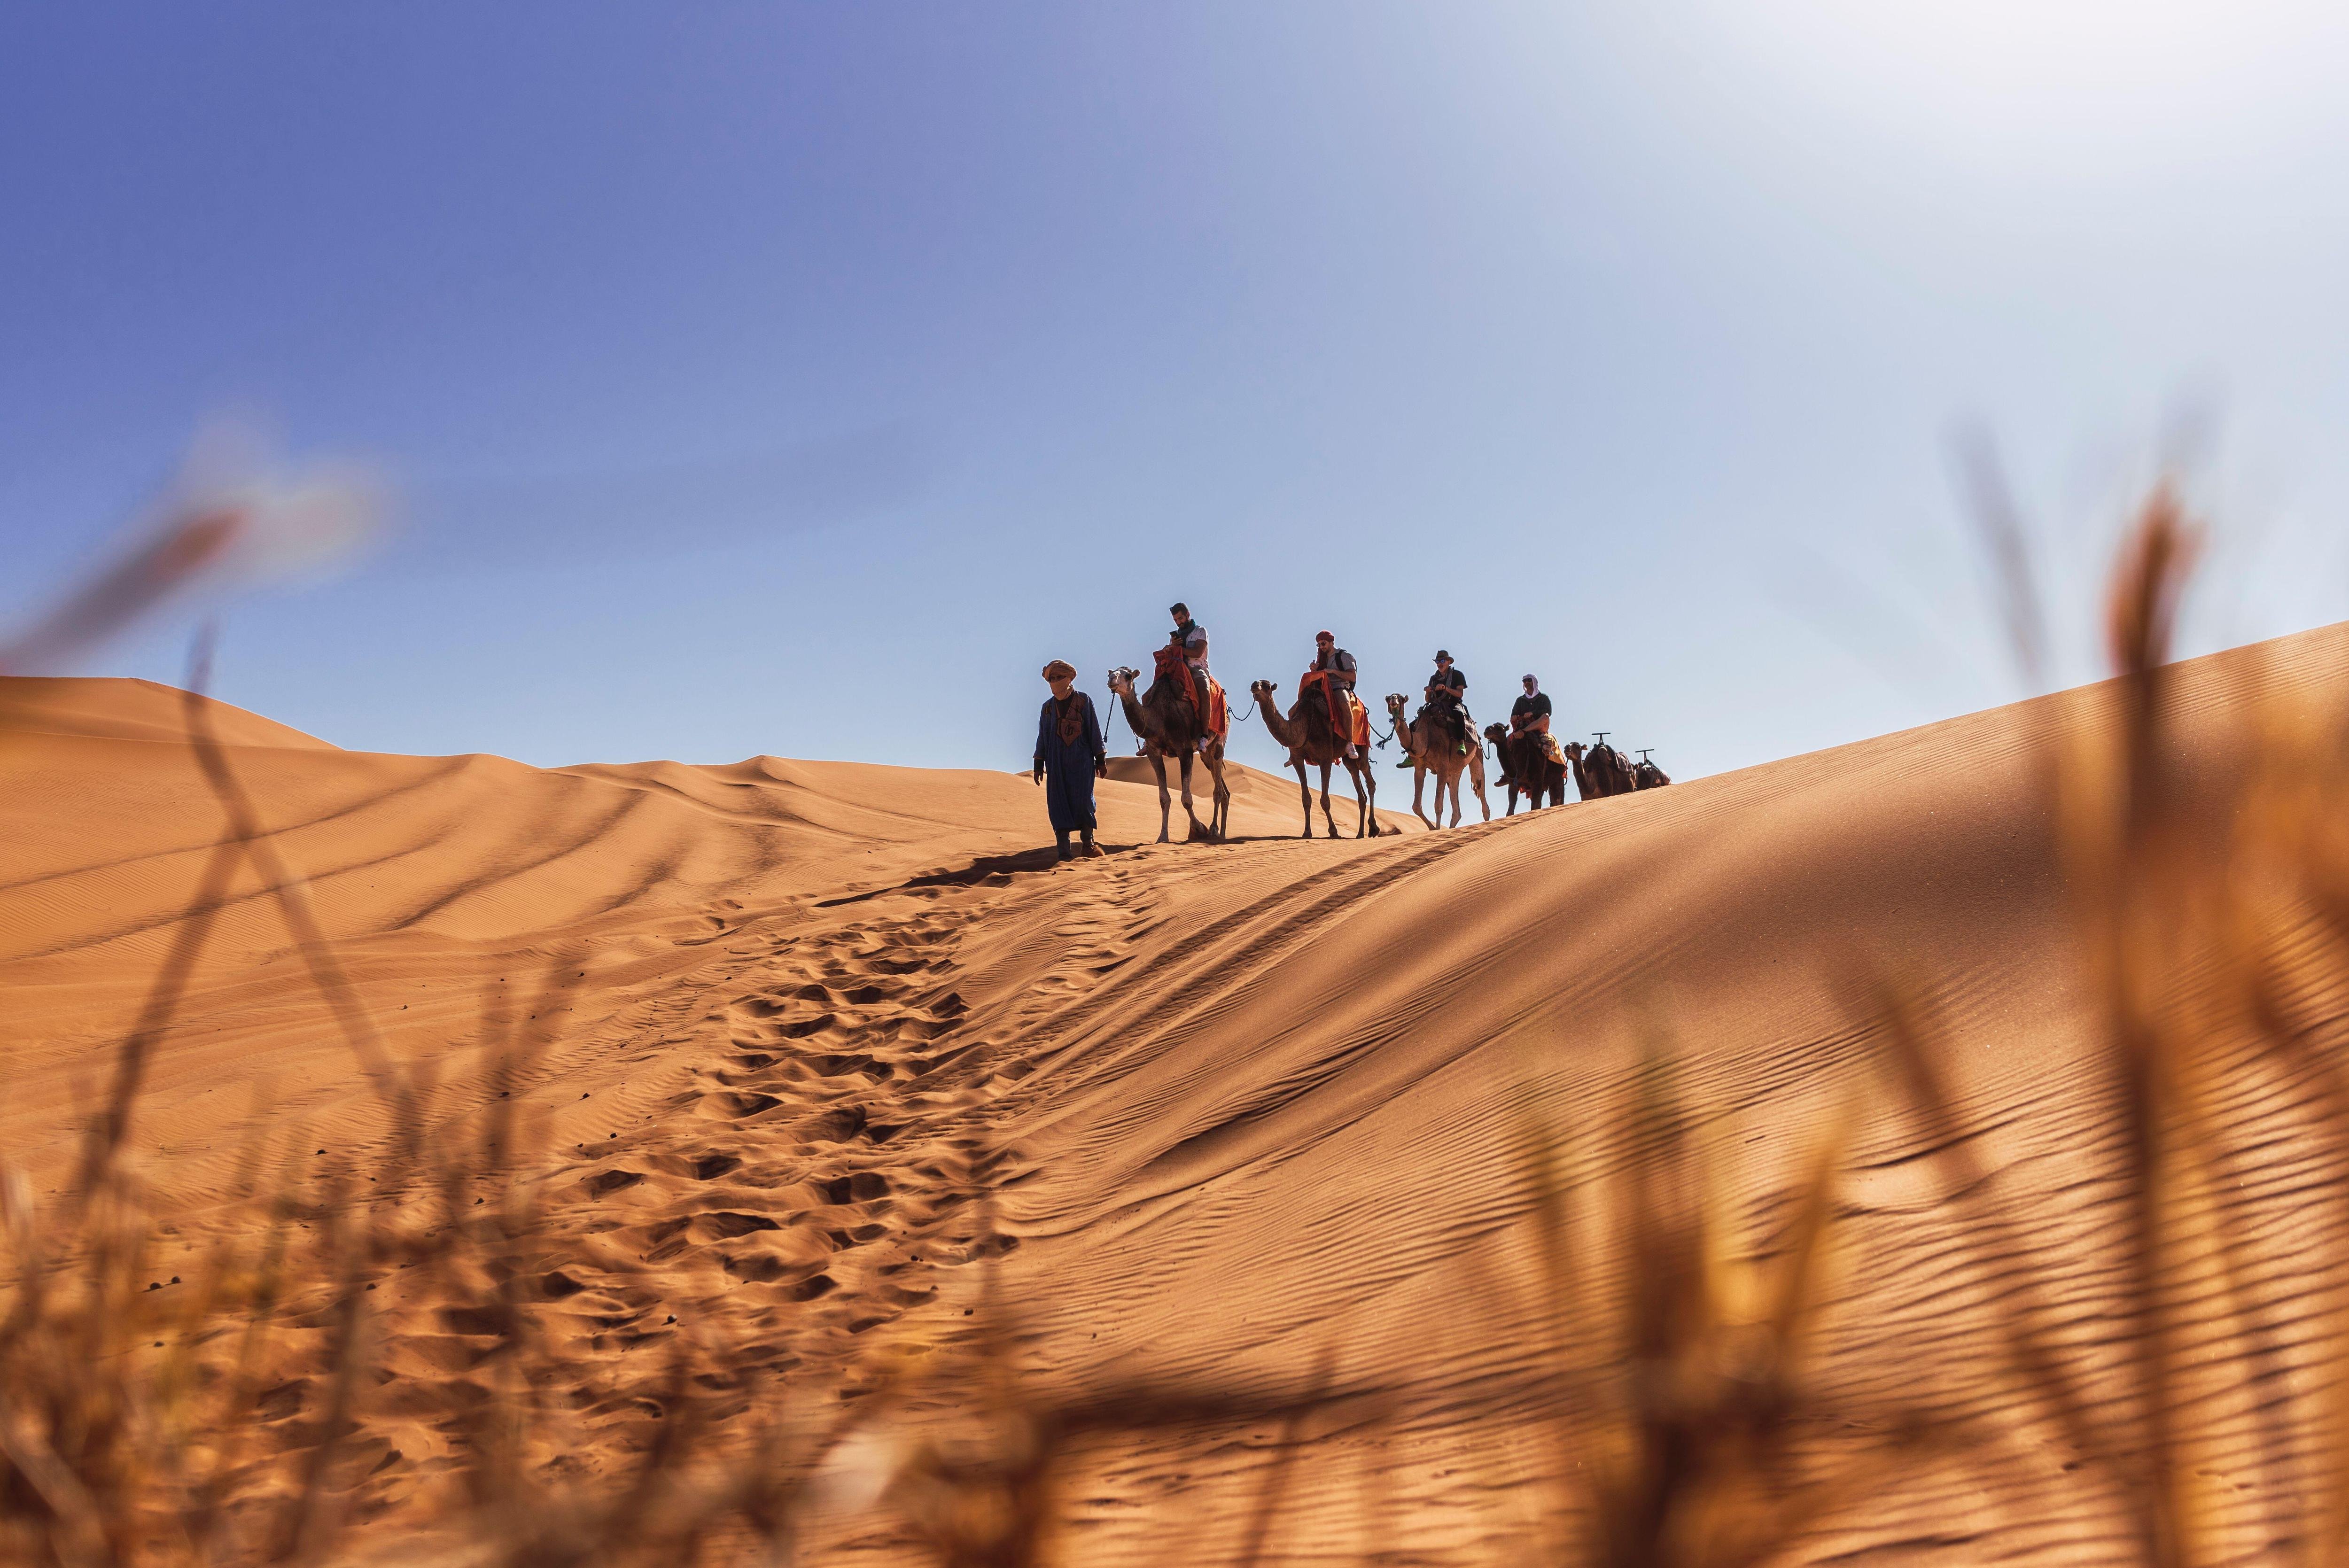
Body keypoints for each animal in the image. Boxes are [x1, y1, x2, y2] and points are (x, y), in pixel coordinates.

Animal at [1109, 667, 1240, 849]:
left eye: (1128, 676)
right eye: (1111, 673)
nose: (1111, 680)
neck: (1160, 716)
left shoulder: (1184, 750)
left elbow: (1187, 799)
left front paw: (1199, 829)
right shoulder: (1154, 752)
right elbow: (1164, 798)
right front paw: (1162, 837)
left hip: (1218, 743)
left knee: (1218, 790)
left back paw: (1214, 830)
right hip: (1205, 755)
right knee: (1224, 791)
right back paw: (1222, 834)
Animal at [1250, 681, 1372, 840]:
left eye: (1268, 686)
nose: (1255, 686)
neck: (1306, 724)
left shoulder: (1325, 758)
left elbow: (1325, 801)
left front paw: (1334, 832)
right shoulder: (1297, 759)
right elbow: (1306, 799)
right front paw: (1307, 832)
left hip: (1363, 742)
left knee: (1368, 776)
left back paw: (1373, 830)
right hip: (1347, 759)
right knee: (1356, 780)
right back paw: (1360, 833)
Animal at [1372, 690, 1485, 826]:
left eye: (1402, 699)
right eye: (1388, 699)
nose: (1394, 699)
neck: (1425, 738)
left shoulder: (1442, 767)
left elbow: (1438, 806)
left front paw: (1437, 829)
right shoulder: (1420, 767)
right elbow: (1416, 807)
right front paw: (1432, 828)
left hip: (1478, 753)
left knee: (1480, 789)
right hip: (1455, 771)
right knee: (1457, 810)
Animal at [1485, 723, 1560, 816]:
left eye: (1499, 728)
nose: (1487, 730)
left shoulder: (1537, 780)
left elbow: (1534, 806)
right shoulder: (1513, 784)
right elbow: (1510, 811)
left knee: (1557, 799)